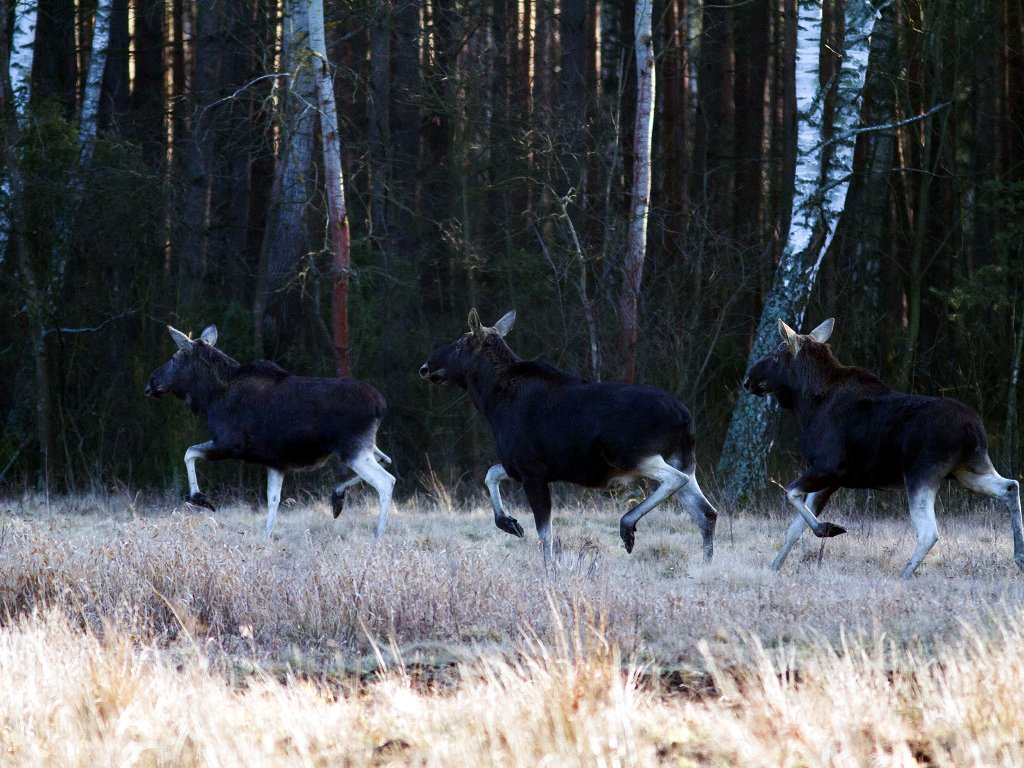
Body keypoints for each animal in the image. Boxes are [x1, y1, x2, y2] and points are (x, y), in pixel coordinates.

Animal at [144, 327, 395, 536]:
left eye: (175, 357)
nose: (151, 382)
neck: (210, 398)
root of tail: (381, 405)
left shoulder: (230, 443)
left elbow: (189, 452)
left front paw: (200, 498)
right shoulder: (276, 462)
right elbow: (273, 500)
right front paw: (265, 538)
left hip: (353, 449)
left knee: (386, 481)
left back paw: (378, 534)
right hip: (363, 446)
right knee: (387, 460)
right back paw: (337, 497)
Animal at [417, 309, 720, 561]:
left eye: (460, 343)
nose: (426, 366)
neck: (491, 402)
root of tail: (685, 416)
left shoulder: (532, 471)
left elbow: (545, 534)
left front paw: (548, 569)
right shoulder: (518, 466)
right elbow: (491, 474)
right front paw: (509, 523)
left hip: (631, 455)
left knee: (675, 480)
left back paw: (627, 526)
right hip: (683, 459)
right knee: (706, 512)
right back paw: (705, 564)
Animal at [745, 317, 1024, 577]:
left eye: (777, 352)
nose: (748, 379)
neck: (807, 407)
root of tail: (973, 429)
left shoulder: (829, 467)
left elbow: (790, 493)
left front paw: (828, 528)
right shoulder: (831, 479)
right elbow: (793, 529)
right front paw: (774, 567)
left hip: (921, 474)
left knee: (929, 533)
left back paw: (903, 575)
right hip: (969, 470)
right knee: (1011, 486)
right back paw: (1019, 556)